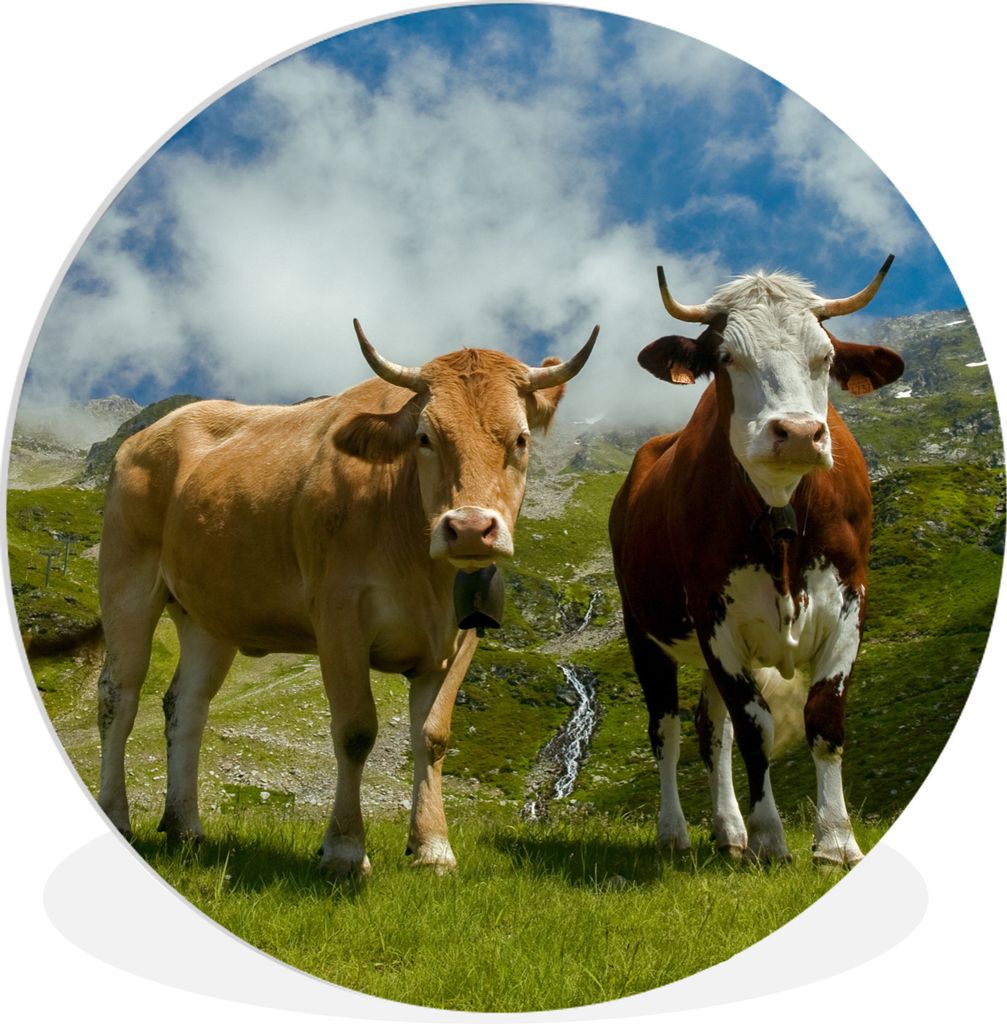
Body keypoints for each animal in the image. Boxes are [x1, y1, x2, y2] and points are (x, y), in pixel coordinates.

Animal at [96, 320, 598, 878]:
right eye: (425, 438)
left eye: (521, 439)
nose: (469, 528)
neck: (422, 567)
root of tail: (149, 434)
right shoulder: (338, 617)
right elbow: (355, 731)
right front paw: (344, 849)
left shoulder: (461, 637)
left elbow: (433, 737)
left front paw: (432, 847)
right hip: (127, 580)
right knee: (119, 696)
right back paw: (117, 816)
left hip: (208, 614)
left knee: (187, 706)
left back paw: (185, 826)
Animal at [609, 258, 903, 866]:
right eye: (726, 358)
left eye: (827, 357)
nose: (798, 433)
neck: (780, 509)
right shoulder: (715, 618)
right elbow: (755, 729)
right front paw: (771, 839)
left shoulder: (850, 602)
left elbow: (824, 719)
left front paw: (835, 841)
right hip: (643, 630)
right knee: (667, 730)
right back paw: (675, 832)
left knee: (709, 730)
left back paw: (729, 831)